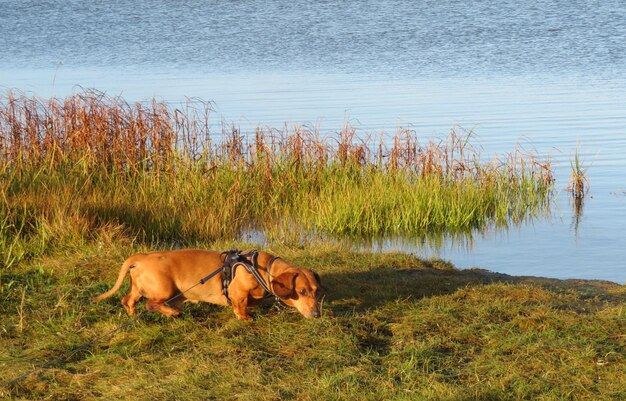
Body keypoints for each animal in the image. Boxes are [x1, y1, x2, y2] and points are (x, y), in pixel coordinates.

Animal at [94, 248, 320, 320]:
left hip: (138, 289)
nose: (318, 314)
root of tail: (141, 258)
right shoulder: (238, 293)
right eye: (302, 291)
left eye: (316, 291)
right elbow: (240, 307)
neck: (262, 268)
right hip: (164, 289)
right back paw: (173, 312)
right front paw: (246, 318)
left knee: (128, 300)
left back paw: (133, 315)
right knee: (152, 304)